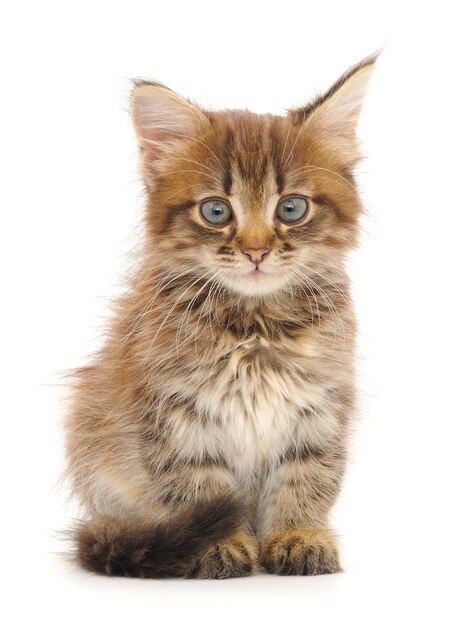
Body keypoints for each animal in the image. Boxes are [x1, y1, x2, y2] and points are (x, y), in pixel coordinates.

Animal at [64, 56, 376, 576]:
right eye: (215, 211)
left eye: (292, 208)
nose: (256, 251)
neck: (255, 326)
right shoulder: (174, 411)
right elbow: (199, 486)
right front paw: (218, 543)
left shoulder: (320, 406)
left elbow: (307, 478)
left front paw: (298, 535)